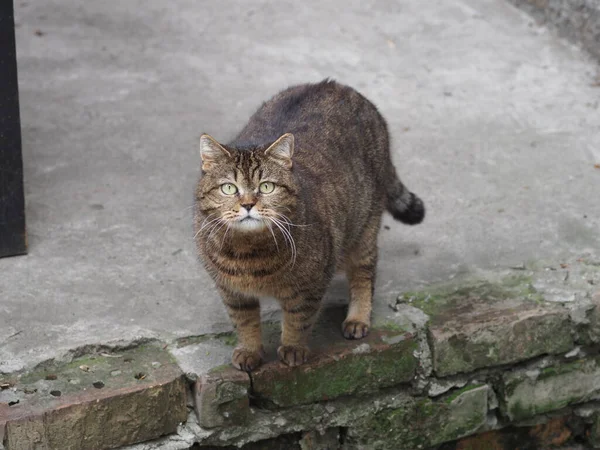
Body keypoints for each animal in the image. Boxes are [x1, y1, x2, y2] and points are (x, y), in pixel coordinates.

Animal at [195, 79, 424, 370]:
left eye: (266, 187)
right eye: (228, 188)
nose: (248, 204)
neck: (249, 254)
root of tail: (342, 86)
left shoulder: (310, 286)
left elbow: (298, 319)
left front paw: (293, 348)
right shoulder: (232, 293)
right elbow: (244, 323)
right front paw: (249, 350)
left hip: (364, 230)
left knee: (365, 274)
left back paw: (358, 318)